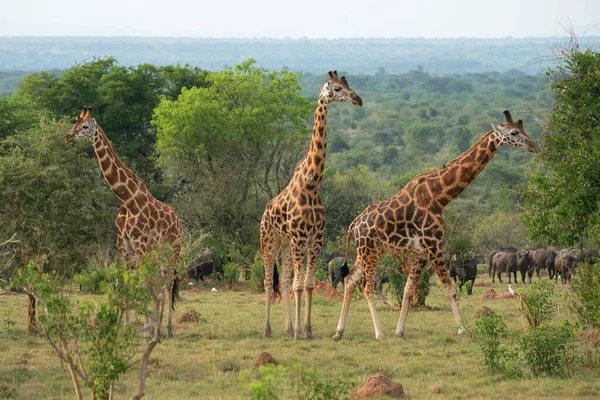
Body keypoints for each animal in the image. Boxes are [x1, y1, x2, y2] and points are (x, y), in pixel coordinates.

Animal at [65, 106, 182, 338]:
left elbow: (145, 282)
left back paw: (168, 329)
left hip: (173, 248)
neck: (126, 200)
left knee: (167, 281)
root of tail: (178, 220)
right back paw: (158, 324)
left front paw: (146, 328)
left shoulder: (141, 242)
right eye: (75, 122)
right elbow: (127, 281)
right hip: (157, 250)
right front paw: (127, 326)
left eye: (85, 126)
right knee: (159, 280)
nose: (68, 136)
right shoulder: (123, 243)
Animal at [262, 70, 360, 340]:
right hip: (269, 241)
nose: (358, 99)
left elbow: (307, 284)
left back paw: (286, 328)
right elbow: (298, 285)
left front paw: (306, 330)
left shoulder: (315, 239)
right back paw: (268, 329)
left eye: (347, 84)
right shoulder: (299, 239)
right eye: (336, 88)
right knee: (268, 281)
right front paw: (299, 332)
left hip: (284, 244)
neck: (312, 184)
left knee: (284, 279)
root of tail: (264, 212)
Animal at [332, 111, 540, 342]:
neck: (439, 196)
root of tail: (353, 225)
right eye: (513, 133)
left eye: (522, 130)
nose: (534, 146)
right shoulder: (434, 245)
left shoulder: (421, 253)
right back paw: (379, 334)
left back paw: (339, 332)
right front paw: (463, 332)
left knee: (350, 280)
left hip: (368, 251)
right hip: (369, 250)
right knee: (367, 287)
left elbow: (408, 289)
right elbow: (449, 288)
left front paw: (400, 331)